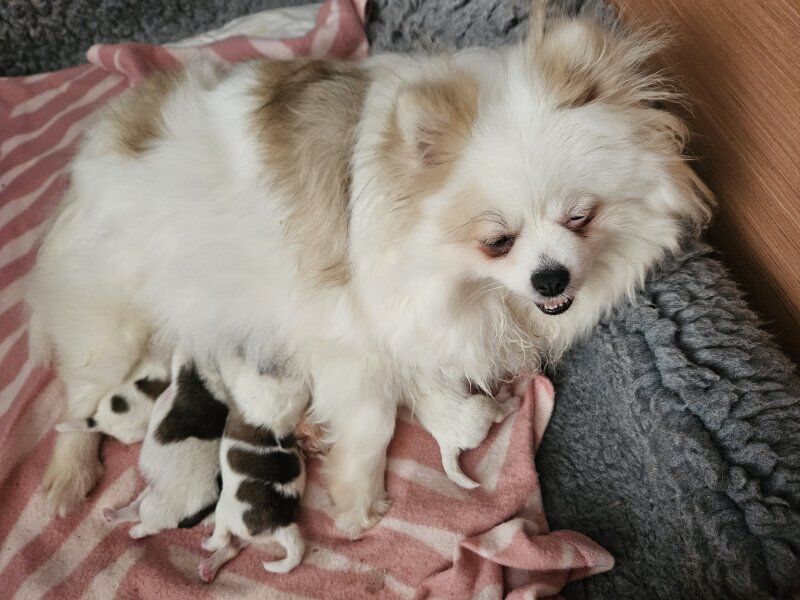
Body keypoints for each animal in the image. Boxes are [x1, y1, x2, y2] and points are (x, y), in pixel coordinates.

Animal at [25, 0, 712, 536]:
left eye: (580, 218)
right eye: (498, 242)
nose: (552, 279)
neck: (462, 286)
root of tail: (103, 141)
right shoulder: (346, 333)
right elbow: (374, 419)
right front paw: (358, 501)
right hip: (111, 322)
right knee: (79, 404)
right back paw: (67, 477)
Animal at [200, 356, 310, 580]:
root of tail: (279, 525)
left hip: (225, 511)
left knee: (222, 538)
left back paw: (207, 544)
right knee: (233, 546)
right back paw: (209, 566)